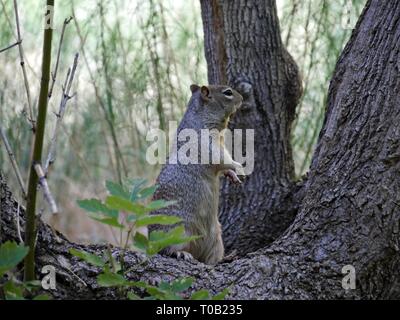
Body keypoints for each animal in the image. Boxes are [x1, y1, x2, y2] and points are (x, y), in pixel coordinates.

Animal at [148, 83, 244, 264]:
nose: (242, 98)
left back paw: (224, 258)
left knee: (210, 258)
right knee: (168, 249)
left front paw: (232, 174)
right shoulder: (206, 144)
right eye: (228, 92)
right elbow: (222, 158)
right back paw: (181, 253)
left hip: (216, 239)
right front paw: (238, 166)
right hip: (177, 231)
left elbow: (222, 166)